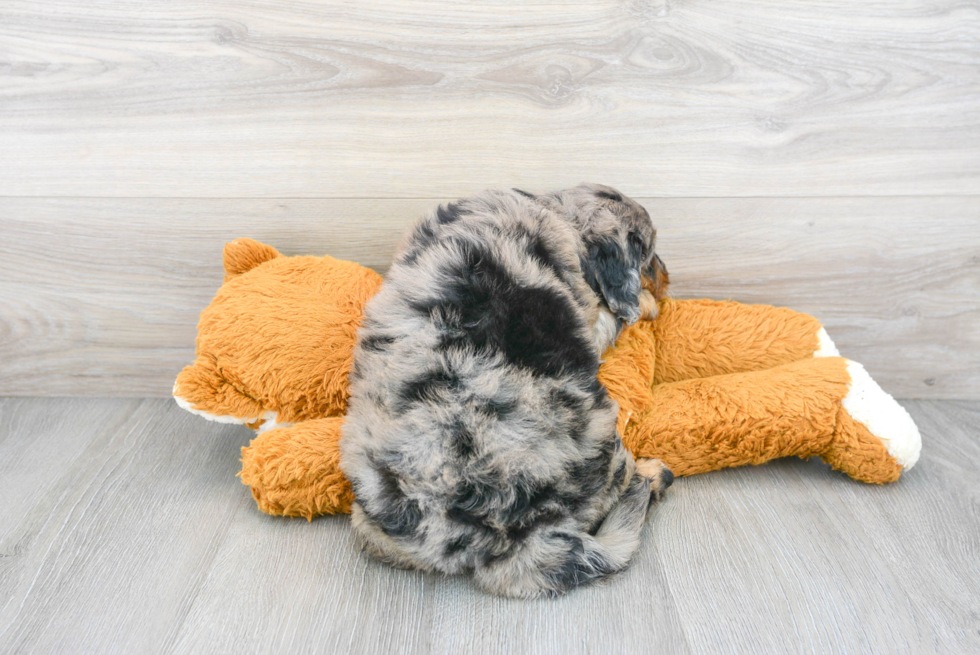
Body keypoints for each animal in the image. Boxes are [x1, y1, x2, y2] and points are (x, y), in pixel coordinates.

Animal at [340, 184, 668, 600]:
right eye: (648, 254)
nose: (669, 278)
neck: (554, 208)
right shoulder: (591, 319)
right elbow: (614, 316)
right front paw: (646, 303)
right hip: (598, 434)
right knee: (622, 485)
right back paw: (655, 475)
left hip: (369, 522)